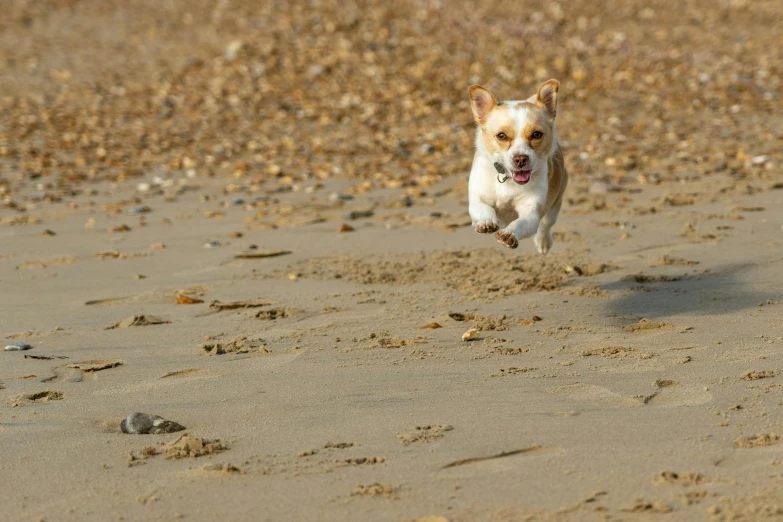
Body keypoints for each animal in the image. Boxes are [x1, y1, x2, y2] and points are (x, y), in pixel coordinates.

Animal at [466, 77, 568, 254]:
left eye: (536, 134)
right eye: (501, 136)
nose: (520, 158)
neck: (507, 178)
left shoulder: (531, 213)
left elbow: (520, 223)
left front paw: (509, 234)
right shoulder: (477, 200)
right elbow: (485, 209)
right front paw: (486, 223)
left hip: (554, 205)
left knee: (545, 226)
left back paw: (543, 242)